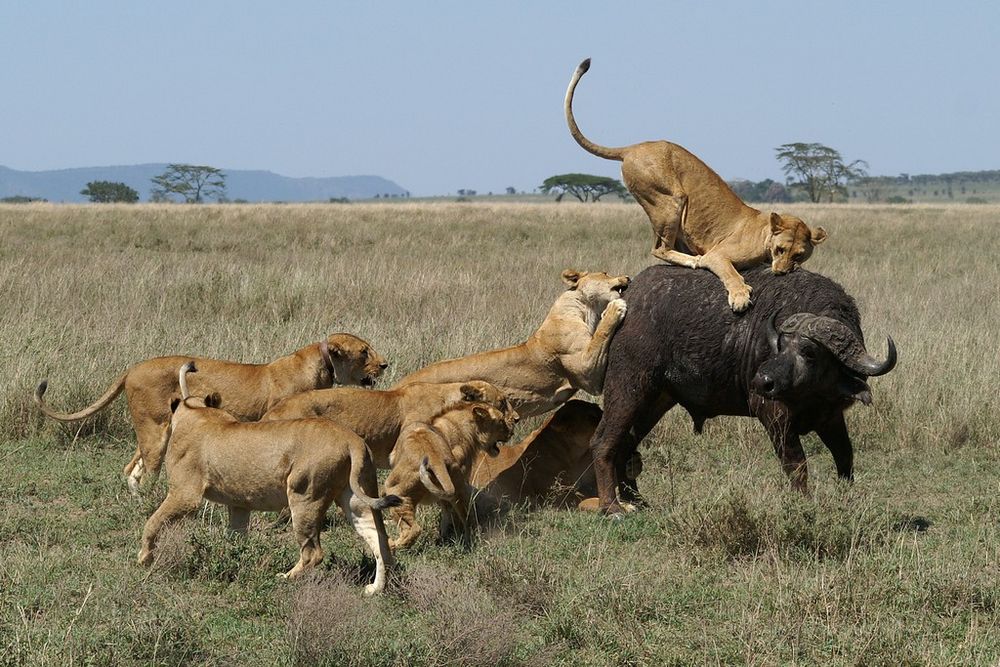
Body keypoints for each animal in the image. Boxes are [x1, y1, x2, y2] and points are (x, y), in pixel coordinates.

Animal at [34, 333, 386, 493]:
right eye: (364, 351)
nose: (385, 364)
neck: (322, 363)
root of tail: (133, 368)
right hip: (155, 429)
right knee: (147, 470)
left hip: (155, 429)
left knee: (131, 467)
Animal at [138, 362, 399, 594]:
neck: (197, 412)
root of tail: (351, 440)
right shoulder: (239, 505)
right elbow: (235, 537)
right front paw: (230, 560)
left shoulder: (185, 494)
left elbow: (152, 521)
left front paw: (144, 558)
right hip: (356, 497)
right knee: (380, 541)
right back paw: (375, 589)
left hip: (305, 495)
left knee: (313, 552)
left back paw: (284, 578)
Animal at [382, 398, 519, 550]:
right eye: (501, 420)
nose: (511, 433)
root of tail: (434, 457)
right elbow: (448, 513)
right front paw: (444, 537)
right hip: (459, 490)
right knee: (467, 518)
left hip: (395, 491)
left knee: (413, 529)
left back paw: (391, 544)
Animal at [392, 269, 630, 418]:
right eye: (605, 273)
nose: (628, 277)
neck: (584, 310)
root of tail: (398, 387)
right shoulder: (586, 374)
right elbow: (601, 335)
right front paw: (615, 307)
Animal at [565, 58, 827, 312]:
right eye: (780, 249)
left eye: (799, 255)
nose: (781, 273)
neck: (765, 236)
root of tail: (632, 147)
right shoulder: (719, 254)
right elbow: (731, 273)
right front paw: (740, 296)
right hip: (671, 199)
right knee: (659, 249)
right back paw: (693, 260)